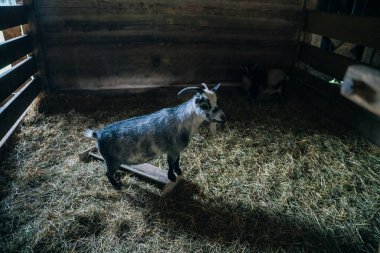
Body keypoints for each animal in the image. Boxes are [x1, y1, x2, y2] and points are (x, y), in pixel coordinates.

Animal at [84, 83, 224, 190]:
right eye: (205, 105)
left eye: (217, 101)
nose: (223, 118)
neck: (183, 121)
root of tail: (98, 134)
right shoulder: (172, 150)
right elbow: (171, 164)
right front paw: (172, 177)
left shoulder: (177, 150)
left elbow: (177, 162)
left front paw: (179, 172)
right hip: (111, 160)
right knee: (107, 173)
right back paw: (117, 186)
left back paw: (118, 177)